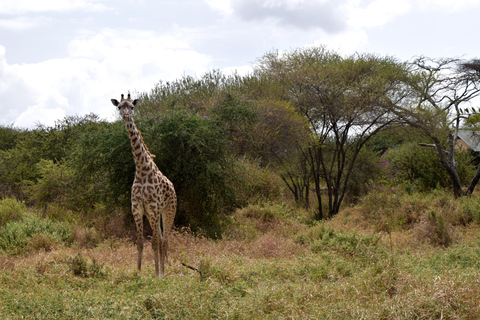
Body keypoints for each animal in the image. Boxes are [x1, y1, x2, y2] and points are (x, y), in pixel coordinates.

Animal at [110, 93, 176, 278]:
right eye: (120, 107)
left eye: (132, 107)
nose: (126, 116)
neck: (142, 169)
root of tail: (173, 188)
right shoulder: (137, 208)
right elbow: (140, 242)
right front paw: (138, 272)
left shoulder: (153, 207)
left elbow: (154, 242)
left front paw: (157, 274)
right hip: (155, 214)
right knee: (161, 238)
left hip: (168, 211)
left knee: (164, 240)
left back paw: (163, 272)